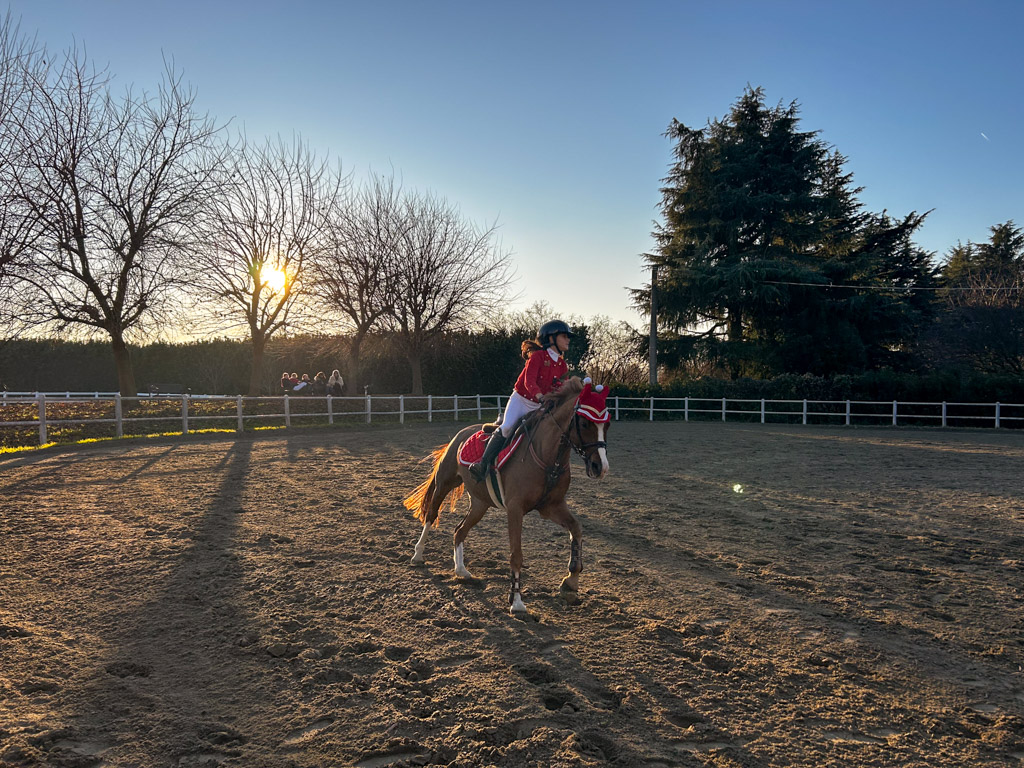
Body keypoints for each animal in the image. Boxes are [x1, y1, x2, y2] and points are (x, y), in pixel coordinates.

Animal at [403, 376, 611, 615]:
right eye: (585, 423)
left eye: (607, 424)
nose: (600, 467)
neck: (547, 456)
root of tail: (462, 433)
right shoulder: (515, 509)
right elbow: (516, 555)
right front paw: (517, 601)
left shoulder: (552, 507)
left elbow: (576, 529)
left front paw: (571, 581)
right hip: (445, 483)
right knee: (431, 515)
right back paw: (418, 555)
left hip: (480, 504)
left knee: (459, 530)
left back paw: (461, 570)